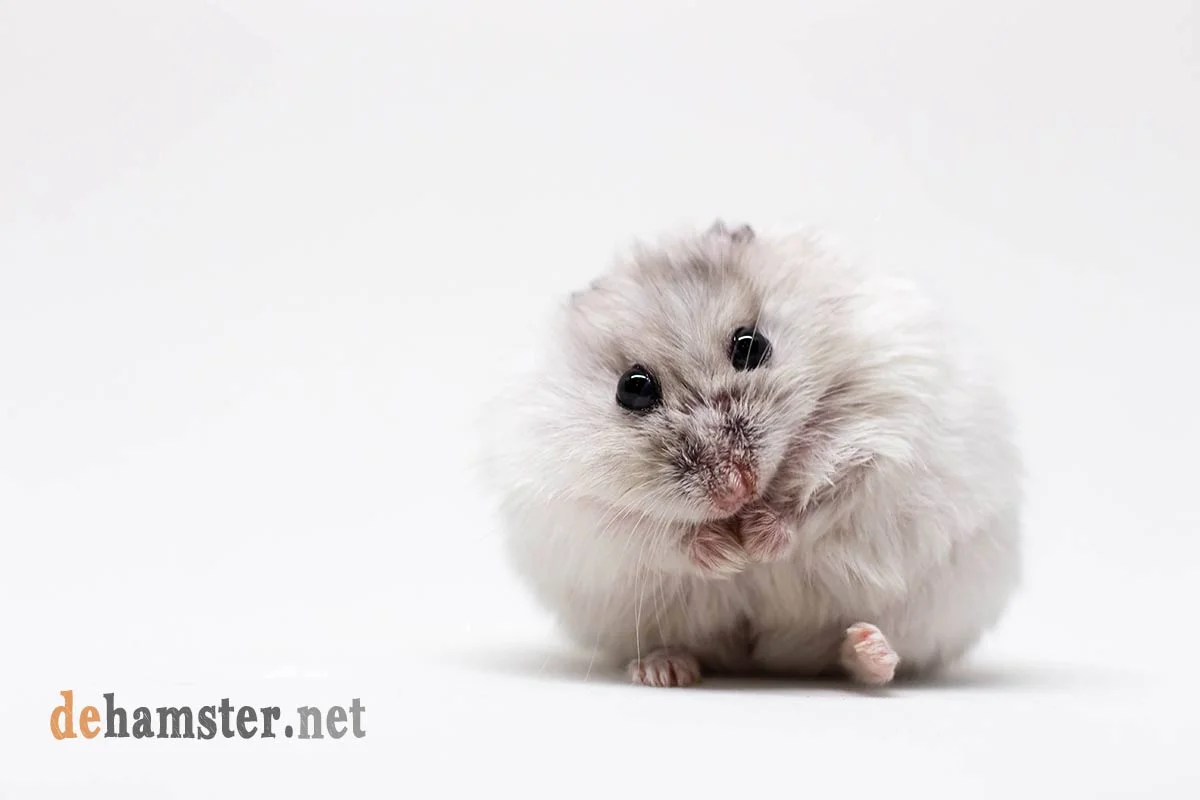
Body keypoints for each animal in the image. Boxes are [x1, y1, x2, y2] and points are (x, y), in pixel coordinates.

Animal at [480, 221, 1021, 687]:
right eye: (632, 389)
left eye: (751, 345)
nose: (735, 489)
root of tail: (767, 658)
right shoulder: (571, 510)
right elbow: (656, 535)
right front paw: (727, 554)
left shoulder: (883, 436)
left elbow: (822, 501)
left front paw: (755, 544)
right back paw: (664, 668)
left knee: (852, 657)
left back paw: (869, 649)